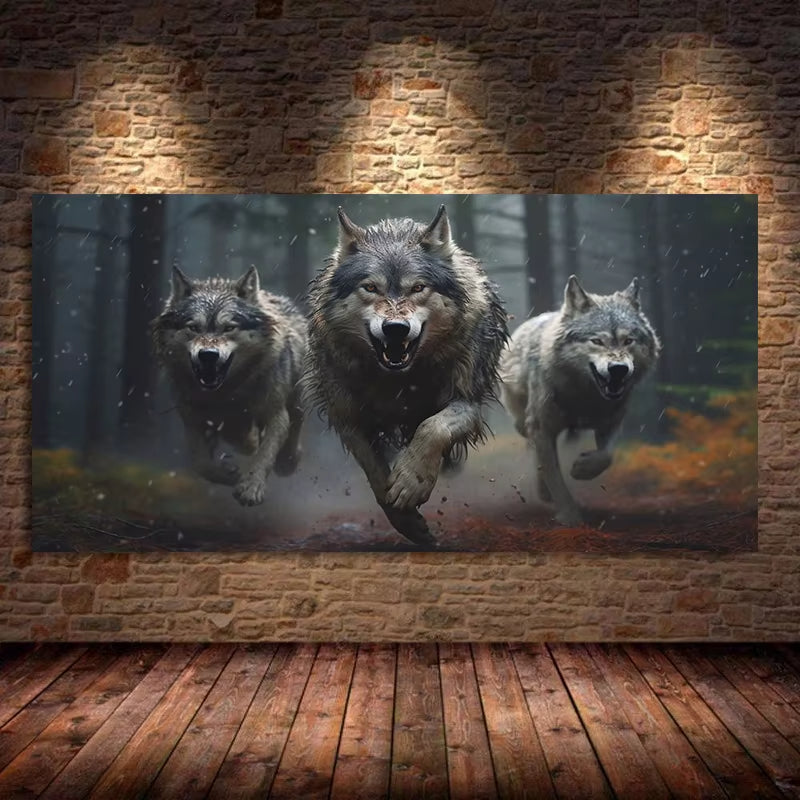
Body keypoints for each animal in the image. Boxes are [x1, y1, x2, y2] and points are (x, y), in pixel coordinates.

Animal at [152, 265, 307, 507]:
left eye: (228, 328)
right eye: (193, 327)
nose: (208, 355)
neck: (226, 393)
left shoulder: (275, 414)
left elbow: (265, 454)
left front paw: (251, 487)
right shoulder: (192, 419)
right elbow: (201, 463)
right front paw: (229, 475)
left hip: (295, 400)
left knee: (294, 426)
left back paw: (287, 461)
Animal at [304, 205, 508, 546]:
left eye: (418, 288)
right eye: (370, 287)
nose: (396, 328)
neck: (399, 379)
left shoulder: (467, 401)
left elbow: (433, 427)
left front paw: (411, 482)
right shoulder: (348, 418)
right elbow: (375, 472)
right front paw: (406, 521)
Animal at [500, 274, 661, 527]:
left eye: (628, 341)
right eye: (597, 341)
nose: (618, 369)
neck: (584, 398)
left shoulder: (612, 422)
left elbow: (606, 456)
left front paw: (582, 469)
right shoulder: (542, 428)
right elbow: (556, 479)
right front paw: (570, 517)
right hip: (523, 424)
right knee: (535, 453)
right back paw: (544, 492)